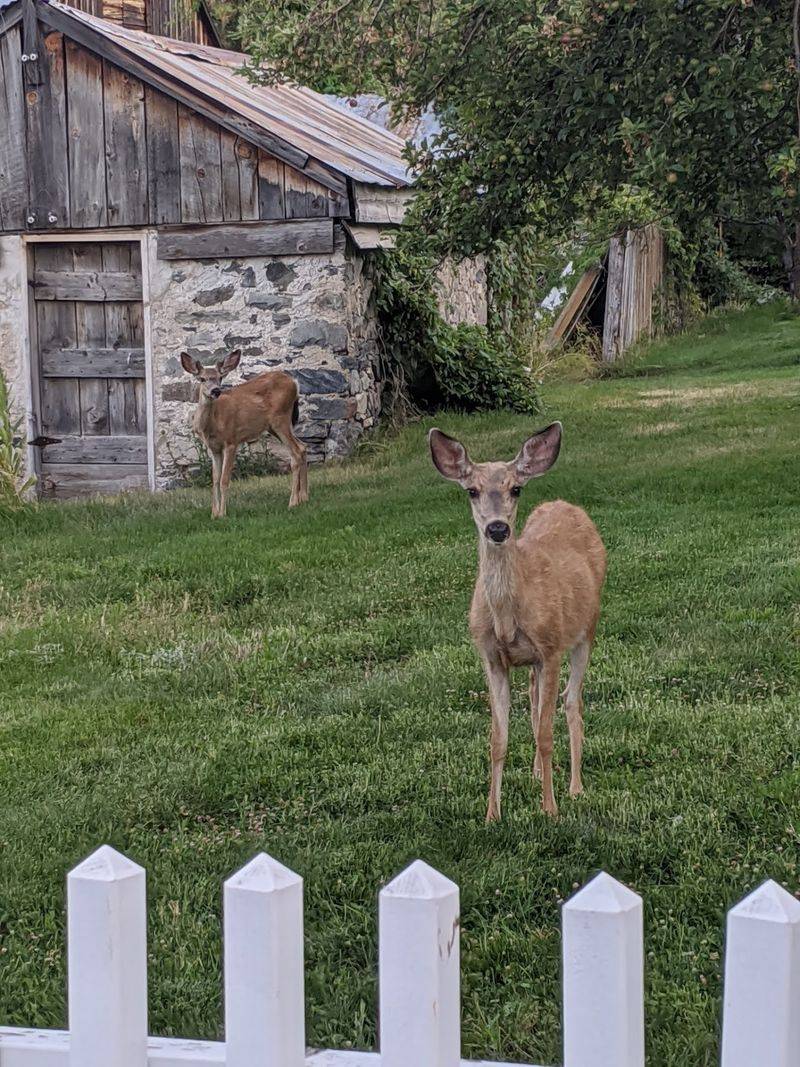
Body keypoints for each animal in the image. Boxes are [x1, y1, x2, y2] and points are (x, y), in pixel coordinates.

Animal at [180, 350, 308, 517]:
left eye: (220, 377)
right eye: (202, 379)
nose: (216, 391)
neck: (212, 423)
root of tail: (294, 382)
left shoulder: (231, 441)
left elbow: (224, 479)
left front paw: (222, 513)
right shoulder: (213, 448)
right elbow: (215, 479)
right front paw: (214, 514)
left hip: (280, 418)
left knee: (296, 452)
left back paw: (293, 502)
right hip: (274, 426)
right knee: (302, 446)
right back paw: (304, 497)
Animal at [428, 422, 606, 820]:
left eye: (516, 488)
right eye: (472, 490)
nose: (497, 529)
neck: (507, 619)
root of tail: (567, 505)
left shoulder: (551, 649)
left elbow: (545, 733)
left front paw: (550, 808)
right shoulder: (491, 657)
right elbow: (498, 738)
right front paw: (492, 814)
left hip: (586, 629)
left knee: (572, 702)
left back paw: (575, 787)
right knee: (536, 698)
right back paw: (538, 773)